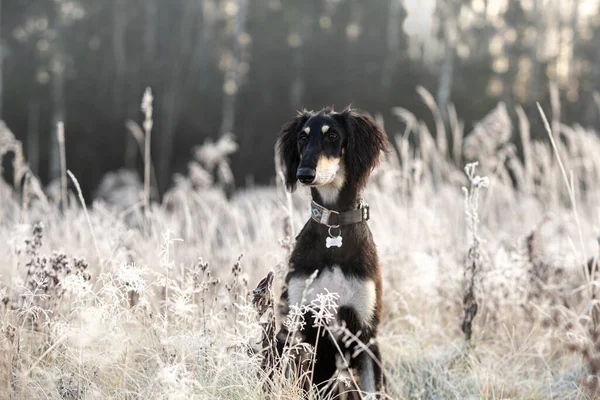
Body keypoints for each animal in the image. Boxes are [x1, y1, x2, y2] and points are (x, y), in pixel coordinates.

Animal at [276, 105, 390, 396]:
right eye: (302, 138)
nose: (304, 173)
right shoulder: (299, 326)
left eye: (332, 136)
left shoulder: (365, 335)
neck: (334, 228)